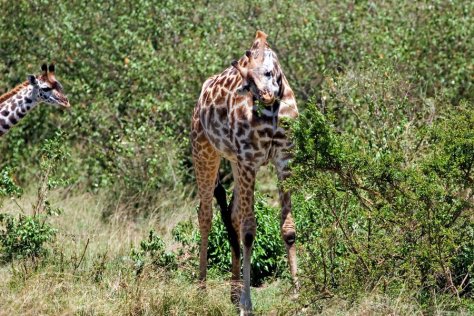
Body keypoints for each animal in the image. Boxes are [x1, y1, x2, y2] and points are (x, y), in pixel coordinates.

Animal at [191, 30, 298, 314]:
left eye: (269, 72)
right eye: (247, 82)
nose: (266, 97)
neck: (272, 112)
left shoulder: (284, 159)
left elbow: (288, 228)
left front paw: (298, 293)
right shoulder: (249, 160)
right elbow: (250, 231)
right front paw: (246, 305)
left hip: (235, 162)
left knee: (232, 213)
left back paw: (234, 290)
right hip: (204, 150)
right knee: (206, 214)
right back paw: (202, 291)